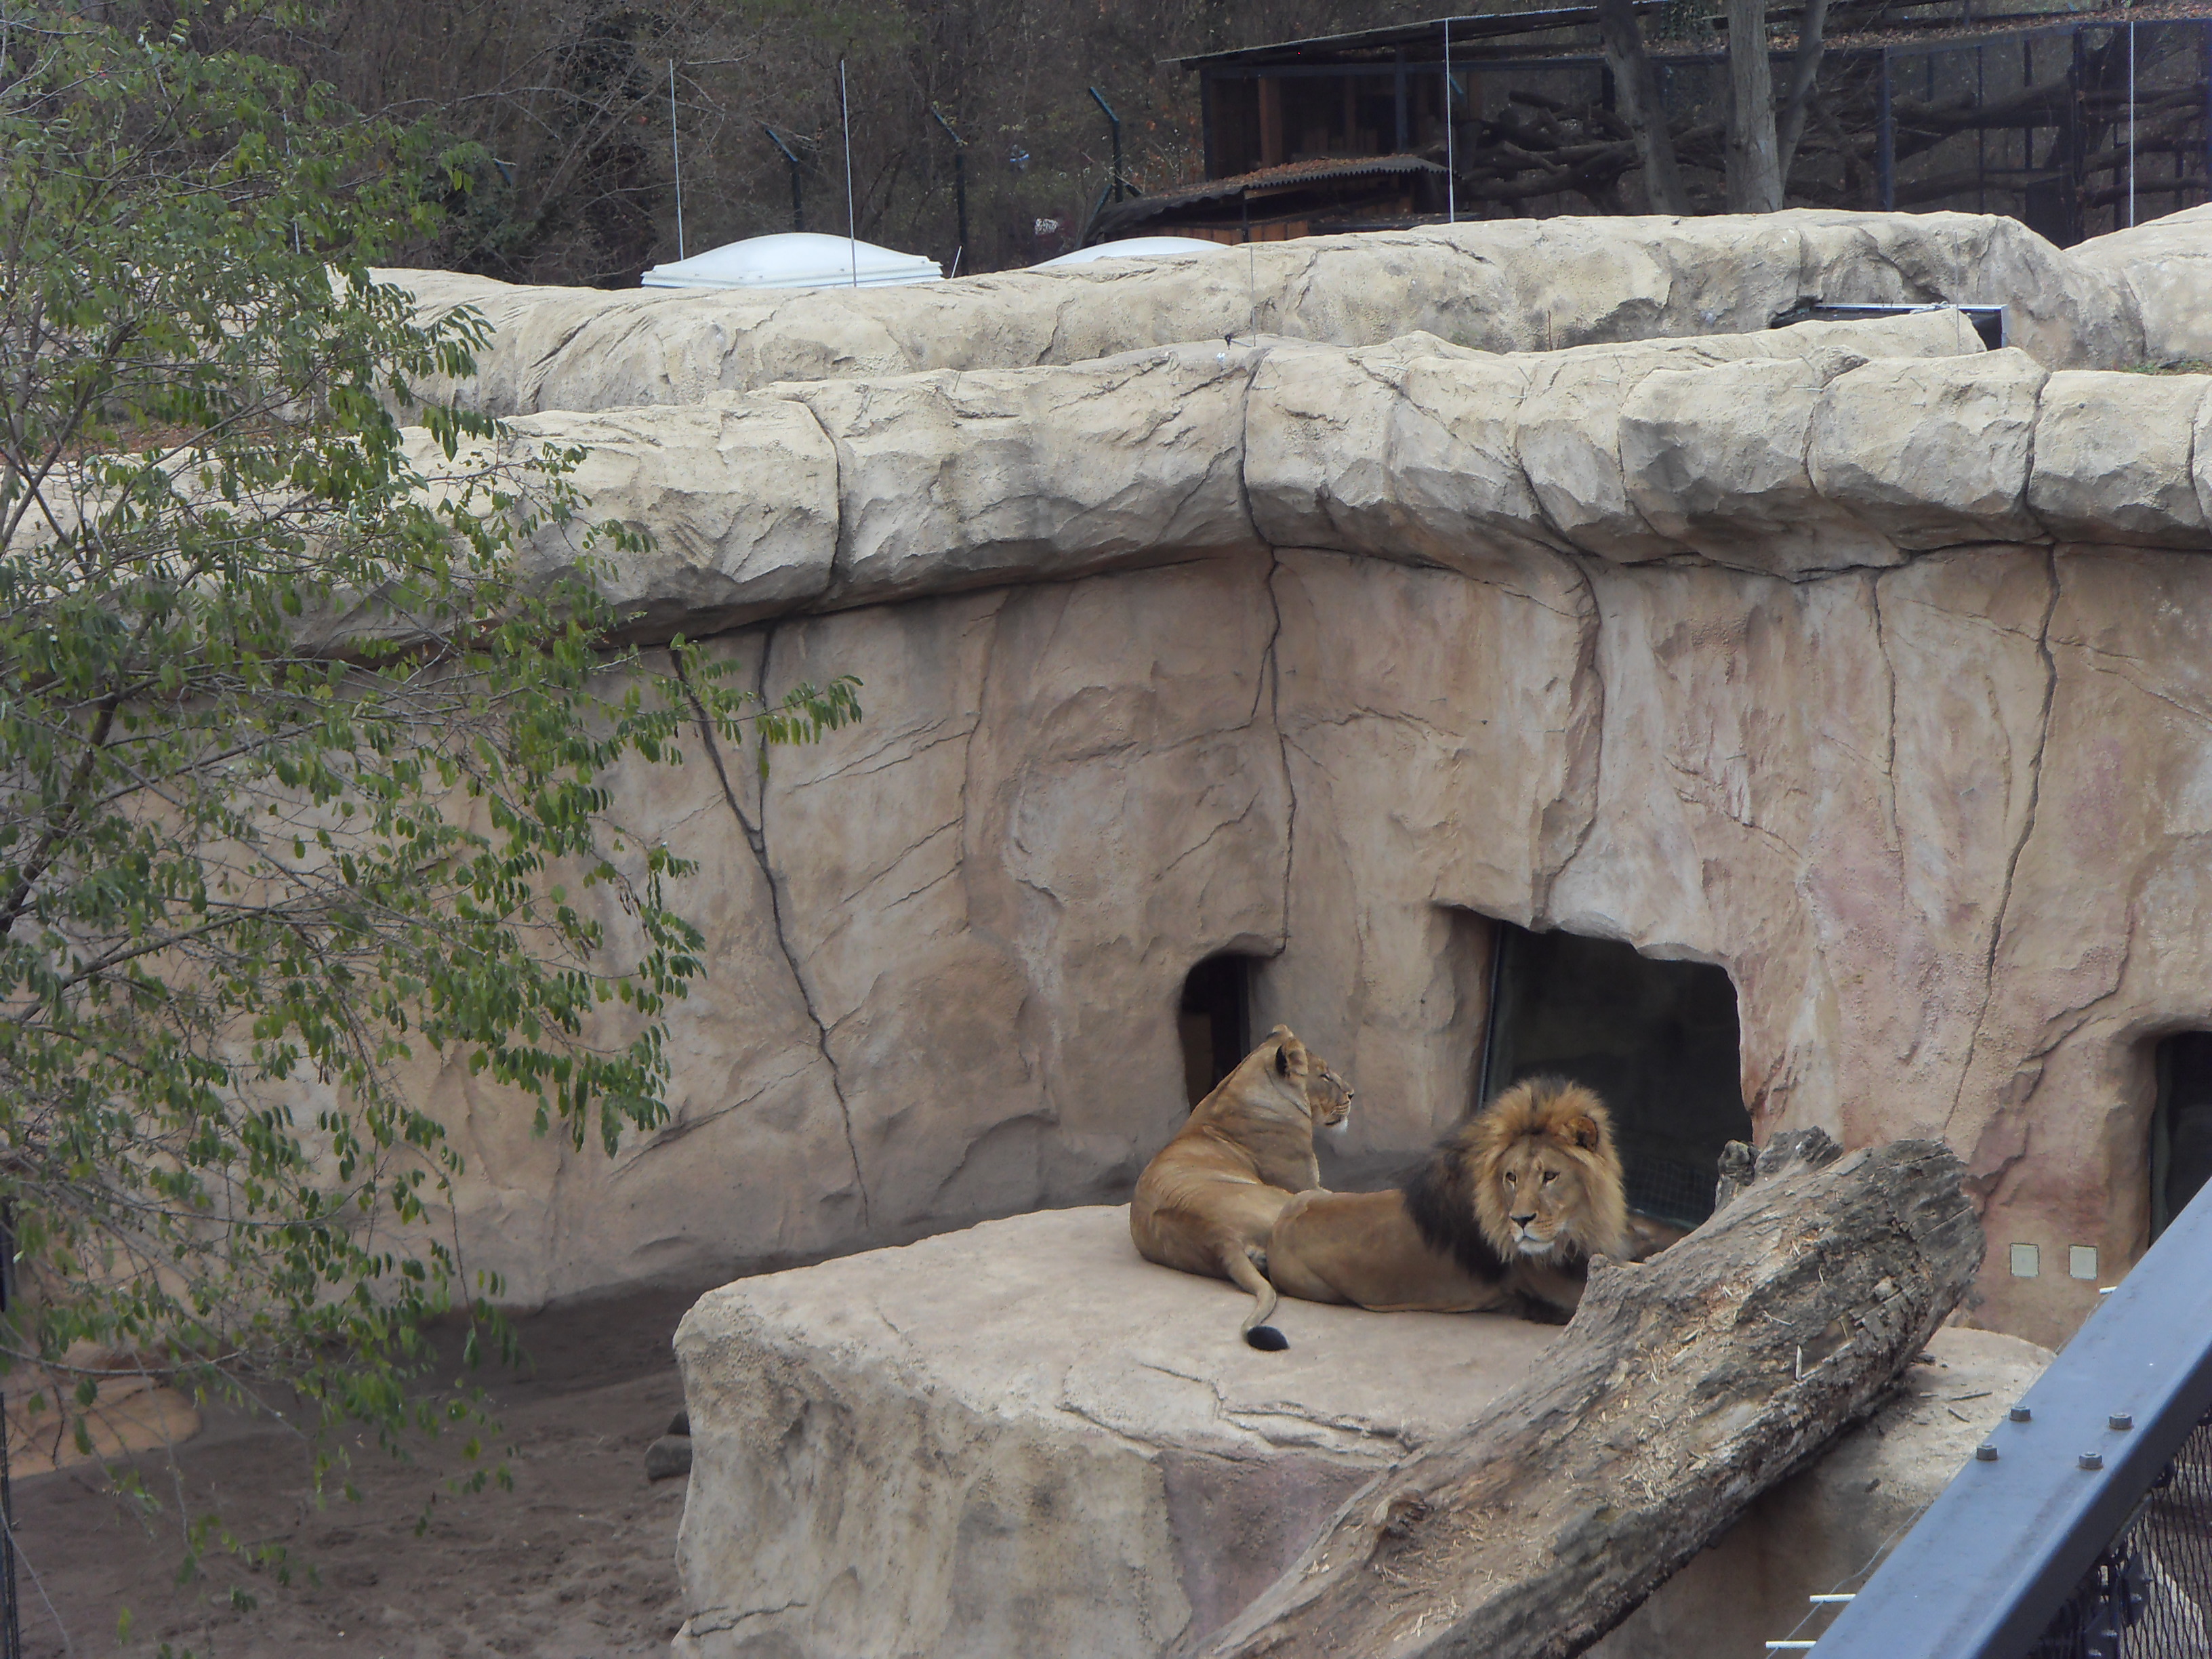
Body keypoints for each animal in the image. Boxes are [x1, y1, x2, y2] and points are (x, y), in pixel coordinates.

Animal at [1265, 1079, 1628, 1327]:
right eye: (1511, 1177)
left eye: (1550, 1176)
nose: (1521, 1221)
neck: (1578, 1224)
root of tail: (1278, 1228)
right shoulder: (1564, 1286)